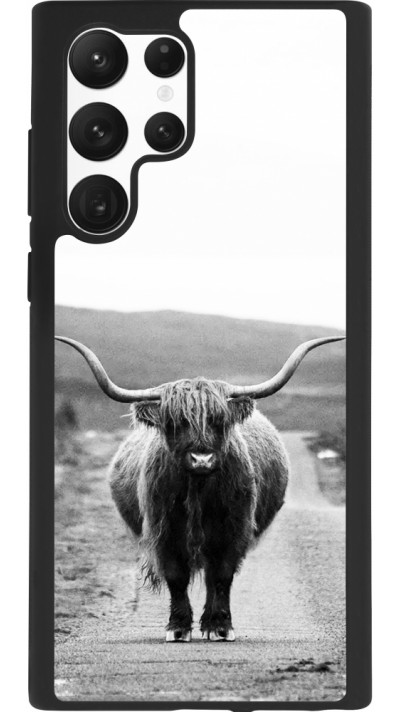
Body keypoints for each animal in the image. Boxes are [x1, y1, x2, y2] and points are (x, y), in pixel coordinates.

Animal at [55, 334, 344, 642]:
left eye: (219, 421)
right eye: (175, 422)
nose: (201, 459)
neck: (198, 489)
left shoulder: (234, 529)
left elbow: (222, 576)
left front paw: (220, 626)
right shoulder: (164, 531)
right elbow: (176, 576)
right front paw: (178, 627)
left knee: (211, 575)